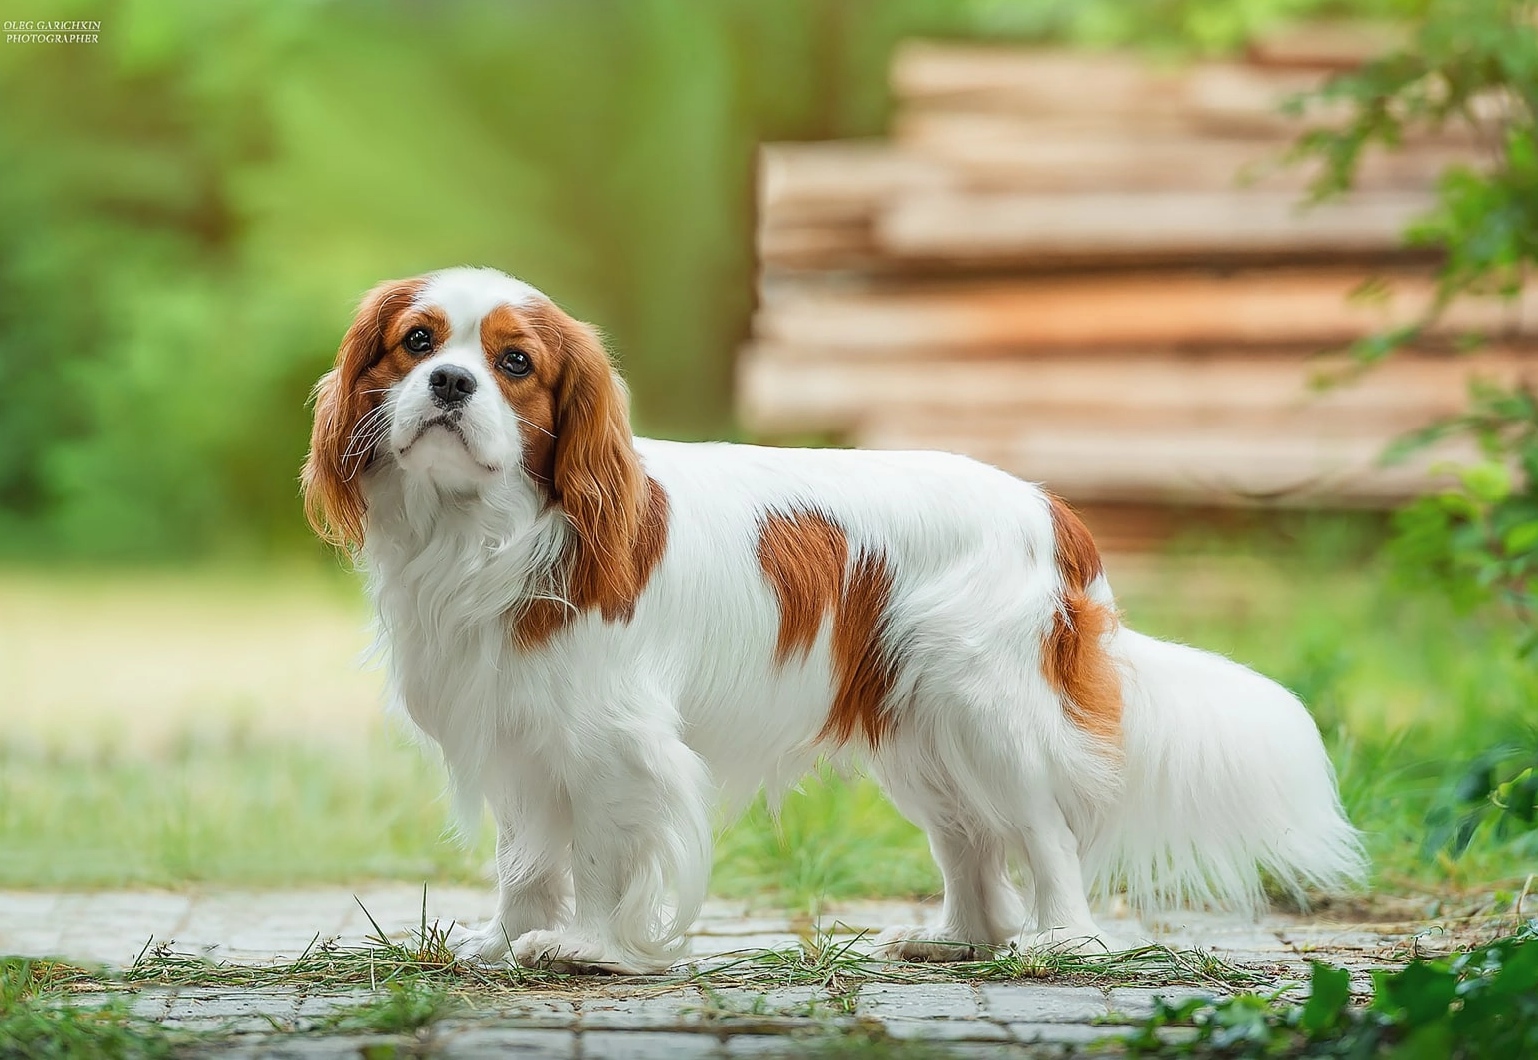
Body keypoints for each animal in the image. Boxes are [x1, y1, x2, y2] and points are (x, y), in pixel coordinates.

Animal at [306, 266, 1365, 978]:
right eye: (416, 344)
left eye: (515, 363)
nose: (450, 385)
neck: (488, 531)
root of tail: (1055, 513)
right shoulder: (523, 730)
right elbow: (525, 860)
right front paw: (508, 938)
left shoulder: (615, 740)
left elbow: (603, 854)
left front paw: (587, 947)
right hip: (921, 732)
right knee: (970, 842)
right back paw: (958, 941)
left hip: (991, 717)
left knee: (1045, 834)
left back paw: (1062, 941)